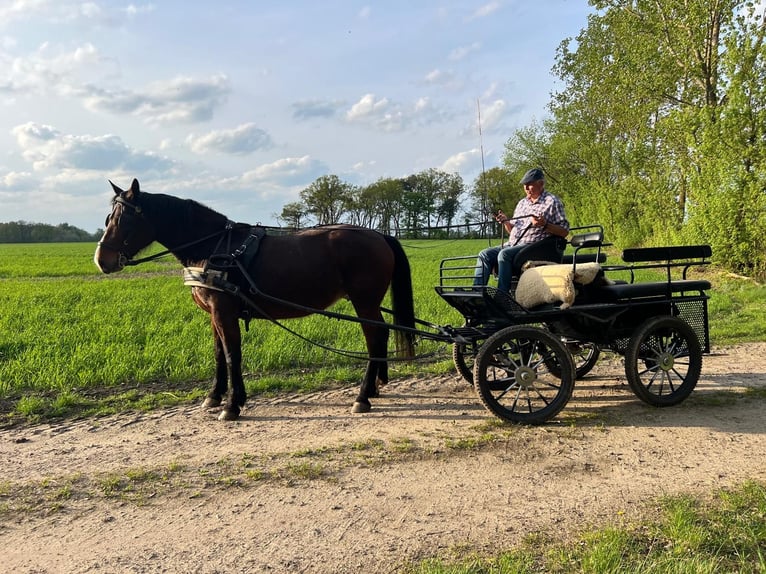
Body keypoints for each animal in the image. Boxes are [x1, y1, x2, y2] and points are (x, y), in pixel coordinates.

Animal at [97, 180, 420, 424]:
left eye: (125, 220)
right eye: (109, 218)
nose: (102, 260)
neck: (212, 247)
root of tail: (379, 234)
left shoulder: (224, 312)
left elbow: (232, 355)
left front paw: (232, 405)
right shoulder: (213, 314)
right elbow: (218, 354)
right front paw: (214, 396)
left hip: (364, 301)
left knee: (374, 338)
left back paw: (362, 396)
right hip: (369, 302)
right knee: (382, 334)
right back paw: (376, 386)